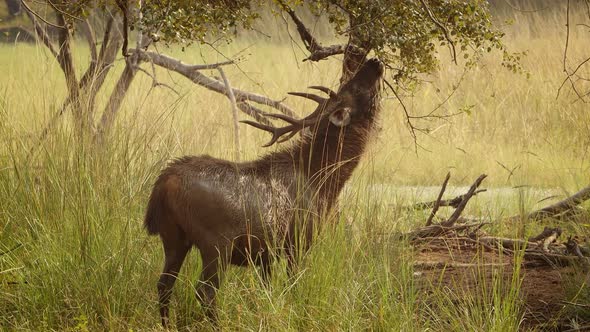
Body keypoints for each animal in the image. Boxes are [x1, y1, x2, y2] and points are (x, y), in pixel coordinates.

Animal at [146, 57, 386, 326]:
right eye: (355, 88)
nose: (374, 60)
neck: (323, 182)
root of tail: (164, 184)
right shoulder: (298, 241)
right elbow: (293, 286)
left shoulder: (266, 254)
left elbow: (267, 291)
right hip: (215, 242)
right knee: (205, 291)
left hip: (173, 237)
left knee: (164, 284)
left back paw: (166, 325)